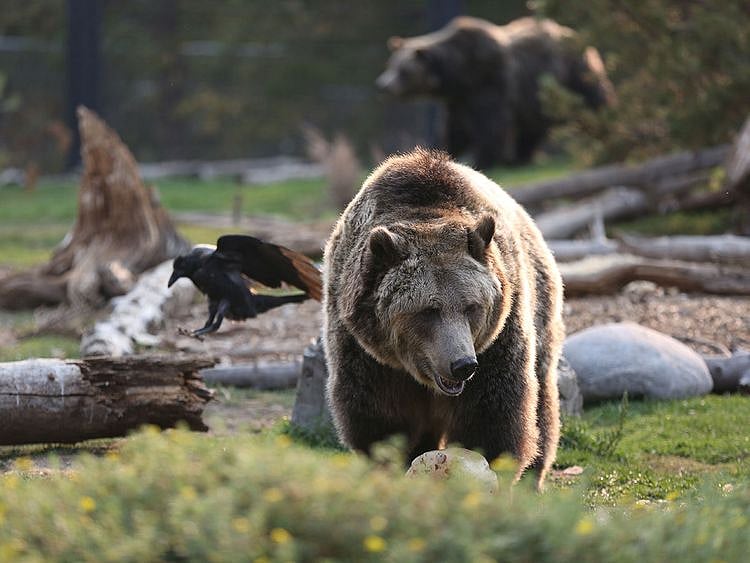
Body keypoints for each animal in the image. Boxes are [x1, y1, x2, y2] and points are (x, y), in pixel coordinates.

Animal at [323, 148, 564, 488]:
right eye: (427, 310)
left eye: (472, 306)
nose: (462, 365)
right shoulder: (365, 350)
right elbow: (380, 416)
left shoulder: (497, 340)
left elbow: (494, 413)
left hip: (540, 303)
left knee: (541, 396)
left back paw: (534, 476)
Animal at [375, 16, 614, 169]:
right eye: (390, 64)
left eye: (404, 70)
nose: (383, 85)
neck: (458, 74)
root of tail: (572, 33)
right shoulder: (458, 100)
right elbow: (454, 129)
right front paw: (442, 151)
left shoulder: (488, 80)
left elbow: (490, 124)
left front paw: (481, 159)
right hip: (539, 96)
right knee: (532, 128)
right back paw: (520, 158)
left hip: (570, 76)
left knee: (593, 101)